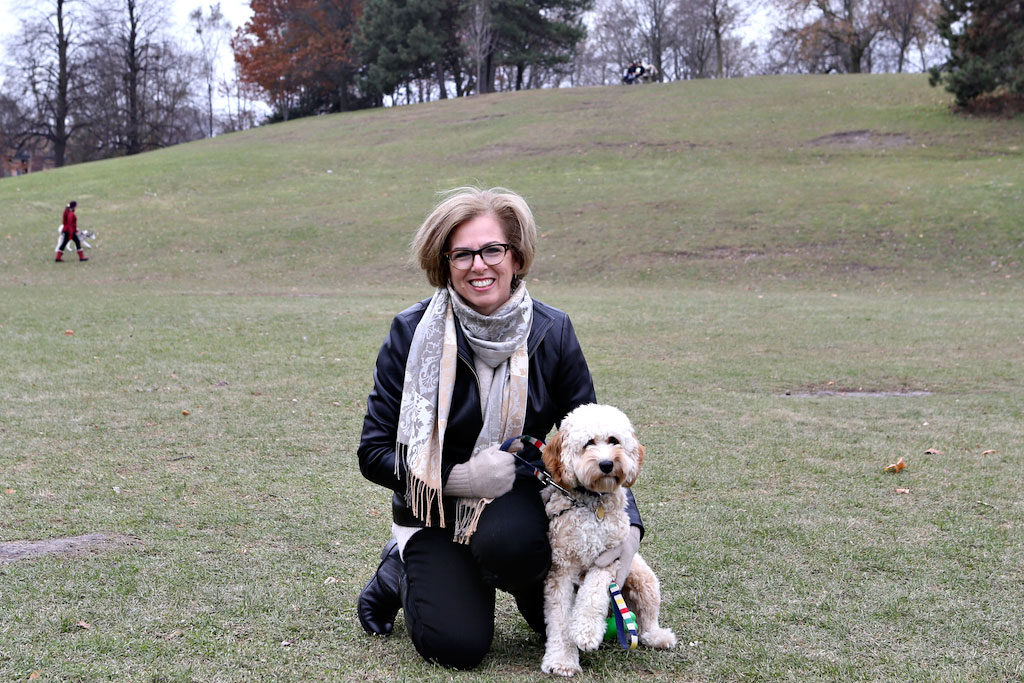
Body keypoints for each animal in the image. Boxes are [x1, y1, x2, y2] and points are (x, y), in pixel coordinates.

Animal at [539, 403, 676, 677]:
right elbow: (559, 618)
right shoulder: (561, 568)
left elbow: (592, 596)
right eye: (588, 443)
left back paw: (658, 636)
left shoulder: (610, 558)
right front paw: (562, 660)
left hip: (643, 579)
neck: (593, 501)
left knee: (647, 619)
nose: (606, 464)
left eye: (614, 440)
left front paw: (586, 631)